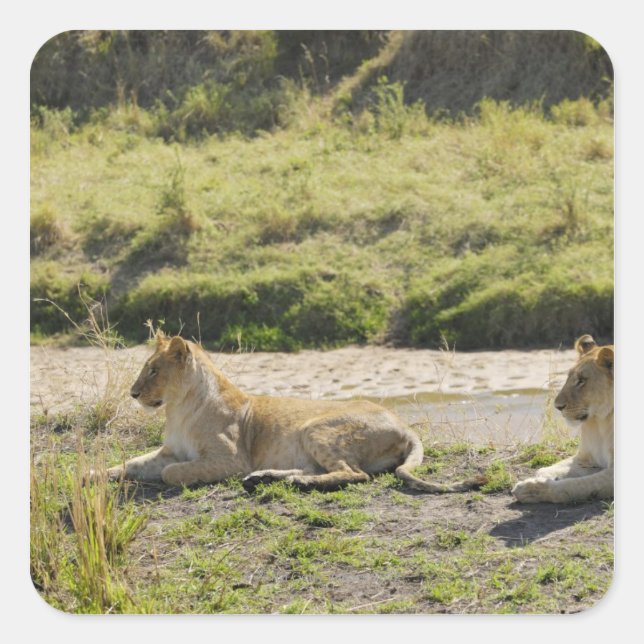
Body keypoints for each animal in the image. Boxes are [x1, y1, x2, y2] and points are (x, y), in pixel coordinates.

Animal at [107, 332, 482, 494]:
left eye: (154, 370)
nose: (133, 393)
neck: (179, 408)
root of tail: (404, 425)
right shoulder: (169, 450)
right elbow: (132, 463)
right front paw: (96, 474)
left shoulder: (230, 460)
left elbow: (170, 472)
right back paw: (266, 478)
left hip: (316, 429)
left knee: (354, 474)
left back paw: (295, 481)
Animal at [512, 334, 613, 504]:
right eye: (568, 378)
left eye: (581, 380)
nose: (558, 406)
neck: (600, 422)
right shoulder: (586, 460)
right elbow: (544, 469)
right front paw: (541, 477)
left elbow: (577, 485)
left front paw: (531, 490)